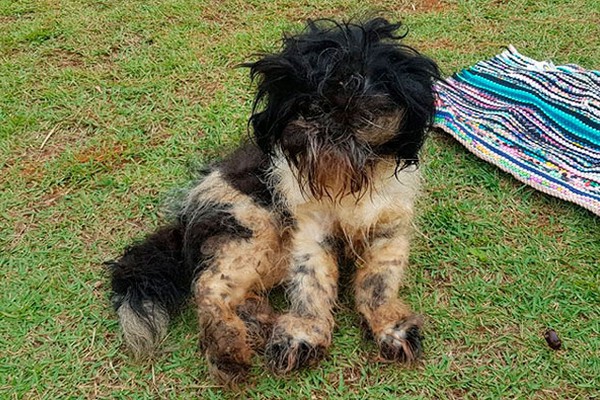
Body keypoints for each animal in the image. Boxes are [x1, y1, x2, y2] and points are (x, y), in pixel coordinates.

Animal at [110, 18, 440, 384]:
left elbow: (378, 283)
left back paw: (259, 325)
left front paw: (393, 329)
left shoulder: (388, 229)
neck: (348, 182)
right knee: (209, 286)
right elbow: (311, 284)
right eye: (309, 107)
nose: (331, 121)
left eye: (366, 108)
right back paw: (228, 351)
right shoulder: (309, 232)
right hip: (254, 227)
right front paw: (302, 336)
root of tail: (184, 221)